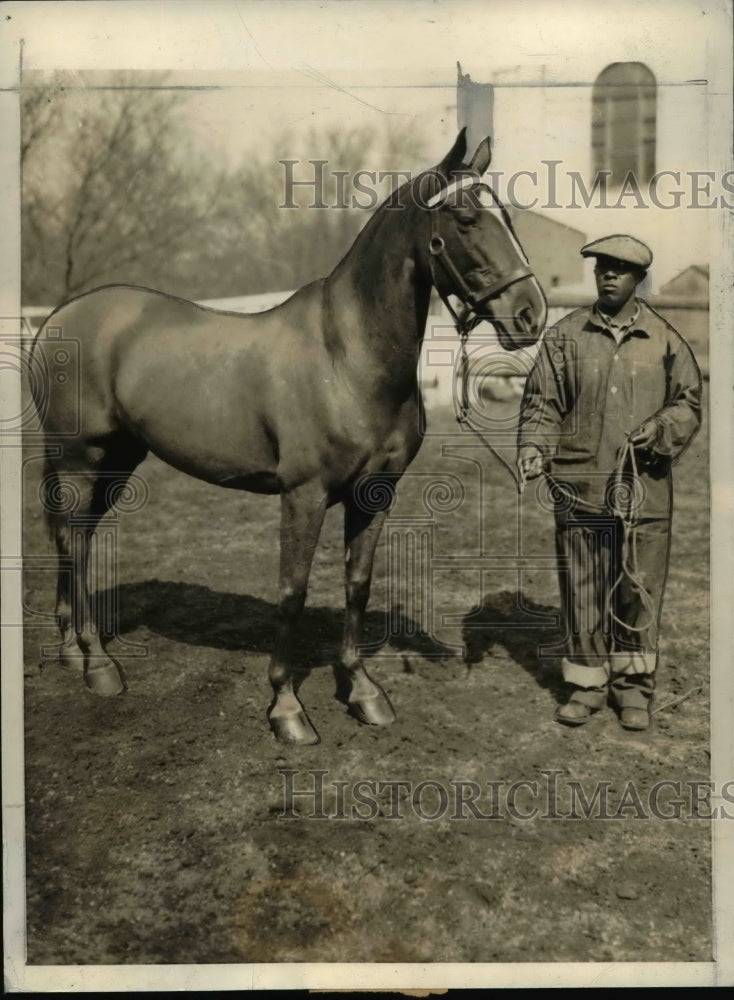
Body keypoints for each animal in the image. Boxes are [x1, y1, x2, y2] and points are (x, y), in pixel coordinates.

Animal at [31, 131, 548, 744]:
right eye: (467, 219)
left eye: (508, 217)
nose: (530, 316)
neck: (347, 357)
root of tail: (57, 318)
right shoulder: (304, 494)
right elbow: (293, 591)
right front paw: (286, 708)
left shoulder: (375, 493)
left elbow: (357, 584)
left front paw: (363, 692)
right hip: (79, 459)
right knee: (76, 543)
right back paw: (98, 665)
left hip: (118, 459)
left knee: (76, 538)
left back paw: (73, 651)